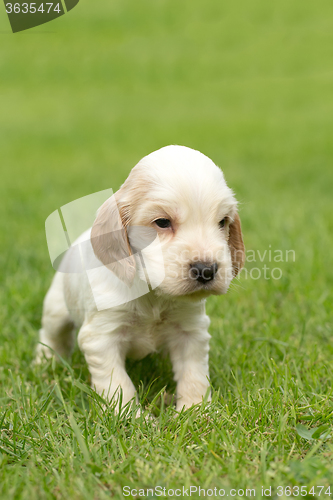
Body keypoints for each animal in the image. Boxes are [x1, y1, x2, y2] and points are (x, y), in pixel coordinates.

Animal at [36, 145, 244, 410]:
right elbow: (118, 385)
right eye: (162, 222)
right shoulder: (102, 337)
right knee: (51, 335)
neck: (152, 294)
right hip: (56, 308)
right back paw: (45, 364)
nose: (206, 270)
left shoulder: (190, 330)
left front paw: (195, 410)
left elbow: (194, 375)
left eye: (222, 222)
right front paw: (129, 416)